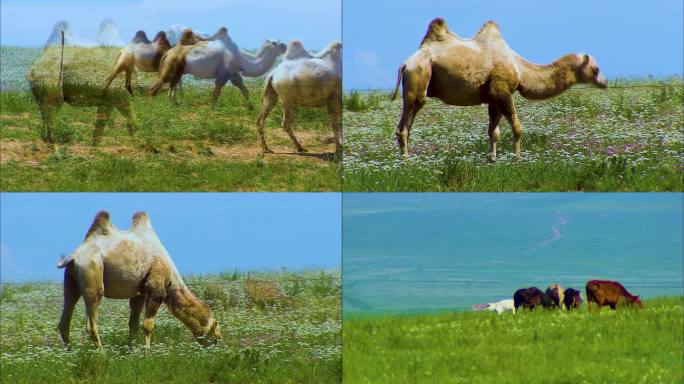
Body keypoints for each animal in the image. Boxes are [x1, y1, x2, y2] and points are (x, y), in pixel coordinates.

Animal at [57, 210, 222, 348]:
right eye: (214, 331)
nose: (219, 341)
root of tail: (73, 257)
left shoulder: (139, 293)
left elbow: (134, 324)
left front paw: (129, 351)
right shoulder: (156, 287)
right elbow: (148, 326)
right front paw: (147, 354)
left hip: (70, 280)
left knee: (64, 320)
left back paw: (69, 353)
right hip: (92, 273)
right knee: (91, 322)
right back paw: (102, 355)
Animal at [150, 27, 286, 106]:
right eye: (274, 43)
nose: (285, 46)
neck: (241, 57)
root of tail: (168, 53)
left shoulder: (233, 73)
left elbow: (243, 89)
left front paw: (250, 106)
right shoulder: (225, 72)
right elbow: (217, 91)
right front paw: (213, 107)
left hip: (178, 70)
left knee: (172, 87)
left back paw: (175, 104)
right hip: (171, 68)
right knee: (156, 87)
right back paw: (152, 108)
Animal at [392, 16, 608, 159]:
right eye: (596, 69)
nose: (604, 82)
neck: (520, 68)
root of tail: (405, 63)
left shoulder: (492, 97)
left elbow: (493, 132)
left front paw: (493, 159)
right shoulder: (502, 91)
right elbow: (518, 128)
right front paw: (517, 159)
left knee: (407, 126)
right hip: (418, 76)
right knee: (405, 124)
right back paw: (406, 162)